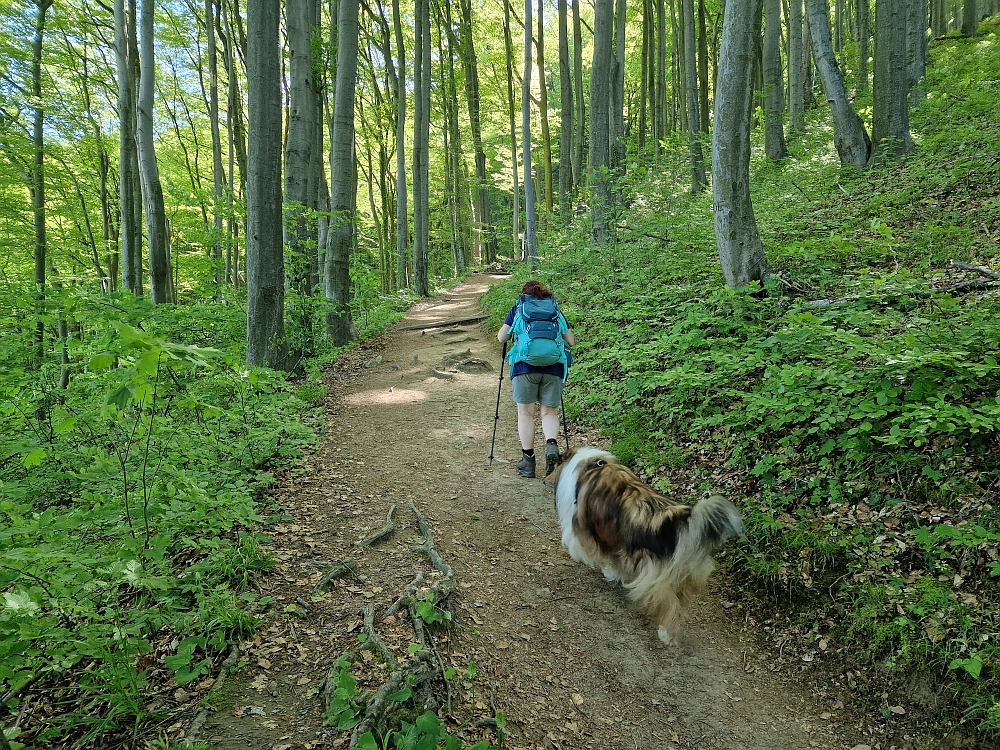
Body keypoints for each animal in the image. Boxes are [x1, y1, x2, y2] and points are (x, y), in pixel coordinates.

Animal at [548, 446, 744, 648]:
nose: (545, 478)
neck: (591, 464)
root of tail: (680, 524)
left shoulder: (588, 531)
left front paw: (608, 572)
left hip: (655, 578)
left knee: (669, 605)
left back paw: (666, 635)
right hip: (684, 574)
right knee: (679, 603)